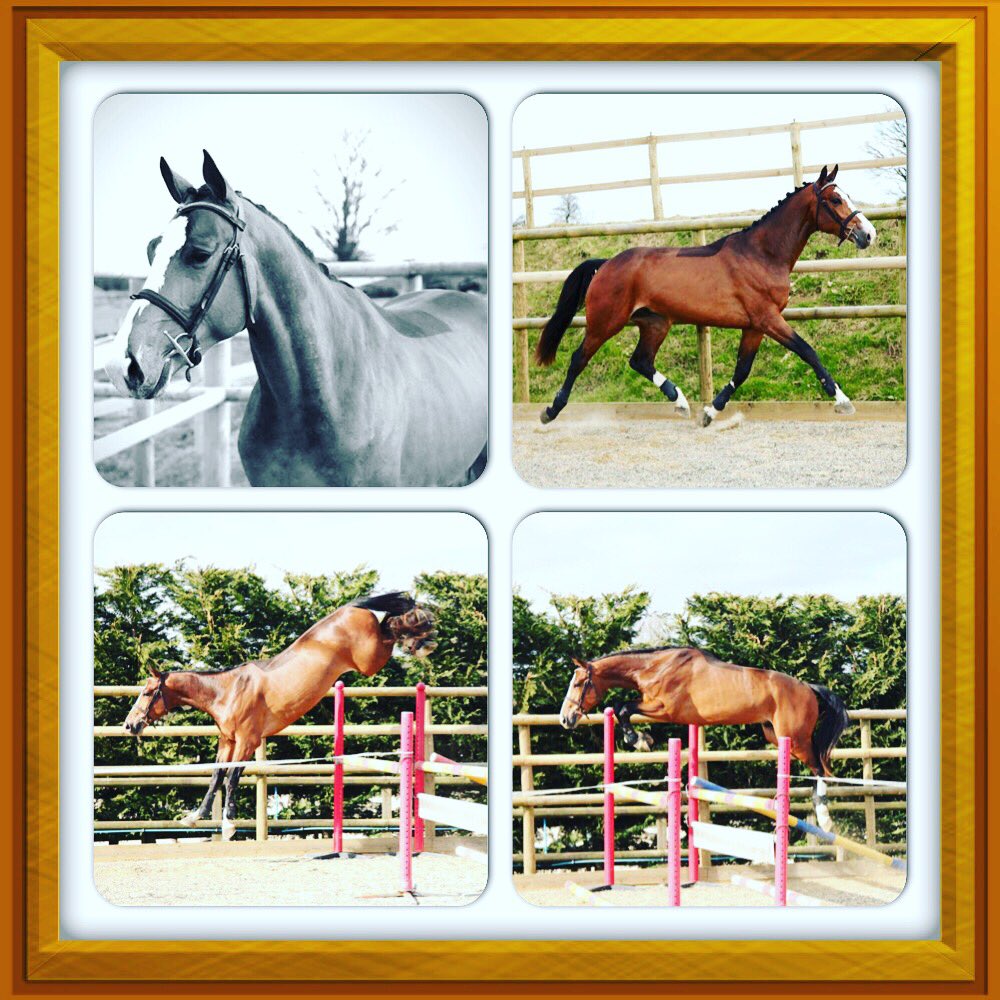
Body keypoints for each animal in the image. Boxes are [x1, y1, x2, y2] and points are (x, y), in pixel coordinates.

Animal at [122, 592, 437, 839]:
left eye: (147, 692)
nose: (130, 724)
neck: (227, 691)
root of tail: (351, 608)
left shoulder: (247, 741)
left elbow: (232, 777)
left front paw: (229, 824)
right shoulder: (227, 742)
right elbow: (216, 775)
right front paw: (195, 816)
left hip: (370, 660)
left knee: (392, 627)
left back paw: (422, 636)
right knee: (390, 621)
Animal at [535, 165, 877, 427]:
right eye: (836, 199)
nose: (869, 234)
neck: (762, 254)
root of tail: (605, 264)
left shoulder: (754, 326)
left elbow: (742, 371)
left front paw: (711, 412)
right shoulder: (768, 318)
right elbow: (807, 351)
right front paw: (843, 401)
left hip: (655, 323)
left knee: (640, 361)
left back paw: (681, 402)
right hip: (606, 322)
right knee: (579, 359)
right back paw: (551, 411)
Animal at [558, 645, 851, 831]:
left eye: (577, 684)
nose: (565, 718)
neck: (655, 668)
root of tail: (808, 688)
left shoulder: (663, 708)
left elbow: (622, 707)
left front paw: (639, 740)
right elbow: (621, 707)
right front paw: (640, 738)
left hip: (795, 738)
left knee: (820, 768)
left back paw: (824, 818)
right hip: (775, 735)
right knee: (817, 767)